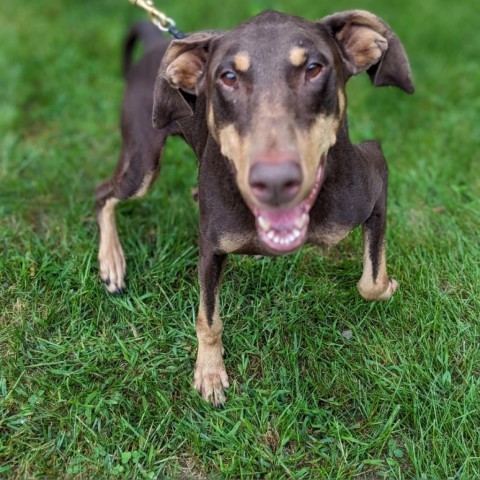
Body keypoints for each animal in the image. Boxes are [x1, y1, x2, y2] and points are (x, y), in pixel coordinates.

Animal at [94, 8, 412, 404]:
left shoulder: (374, 177)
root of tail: (157, 42)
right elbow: (208, 320)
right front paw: (210, 372)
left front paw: (387, 286)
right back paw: (112, 262)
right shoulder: (211, 249)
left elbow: (370, 282)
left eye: (314, 68)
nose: (275, 182)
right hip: (142, 162)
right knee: (102, 194)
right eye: (228, 77)